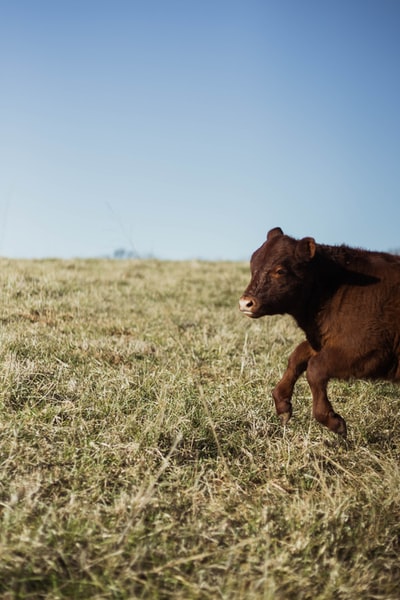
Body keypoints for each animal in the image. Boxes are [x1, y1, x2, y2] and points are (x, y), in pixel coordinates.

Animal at [239, 226, 398, 436]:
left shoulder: (369, 351)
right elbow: (297, 356)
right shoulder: (324, 341)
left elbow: (315, 368)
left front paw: (333, 420)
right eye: (253, 265)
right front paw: (282, 404)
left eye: (280, 270)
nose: (245, 303)